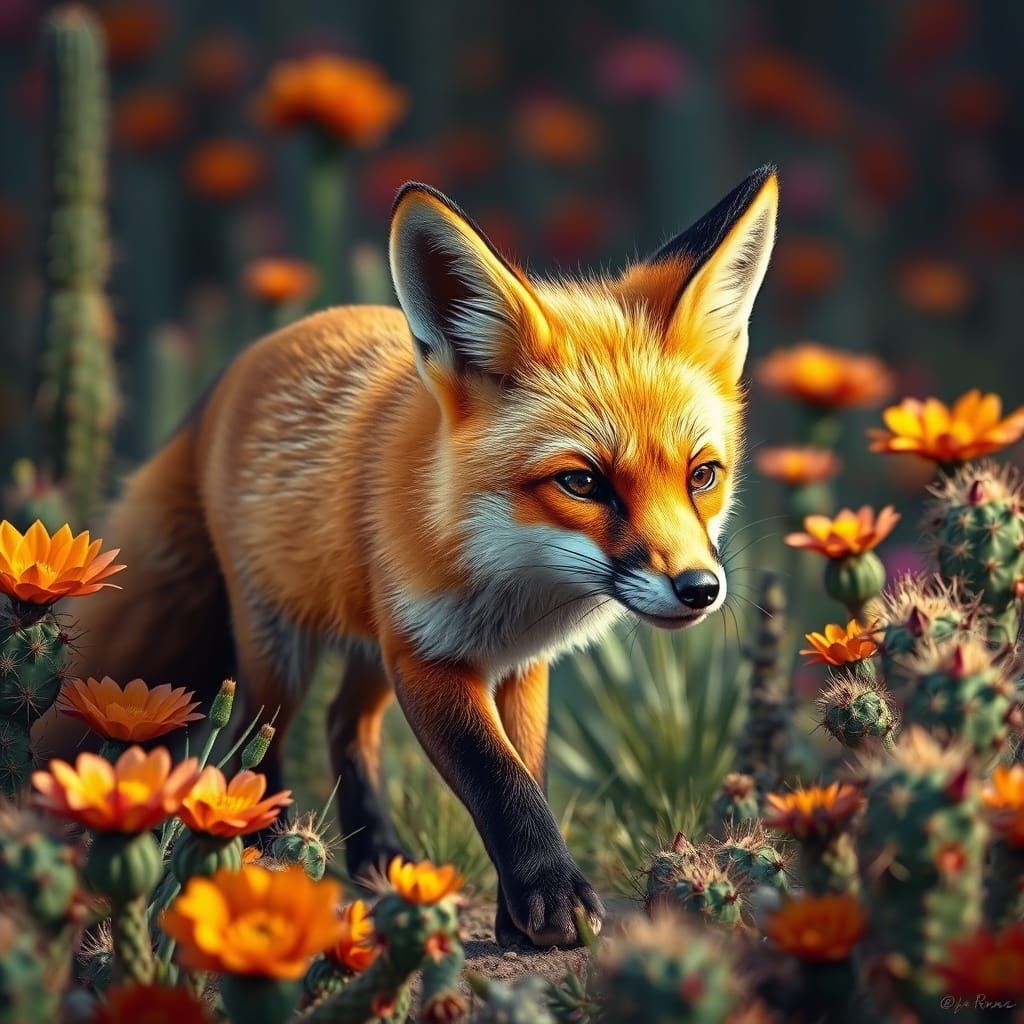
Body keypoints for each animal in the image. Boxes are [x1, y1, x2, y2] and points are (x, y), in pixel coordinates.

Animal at [40, 164, 779, 948]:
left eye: (703, 475)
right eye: (582, 482)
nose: (699, 588)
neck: (514, 579)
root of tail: (240, 367)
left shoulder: (518, 666)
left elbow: (529, 769)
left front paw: (516, 913)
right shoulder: (429, 656)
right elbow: (499, 779)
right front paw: (551, 896)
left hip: (371, 644)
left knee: (345, 724)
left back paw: (374, 858)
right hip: (280, 648)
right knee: (253, 739)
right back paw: (262, 846)